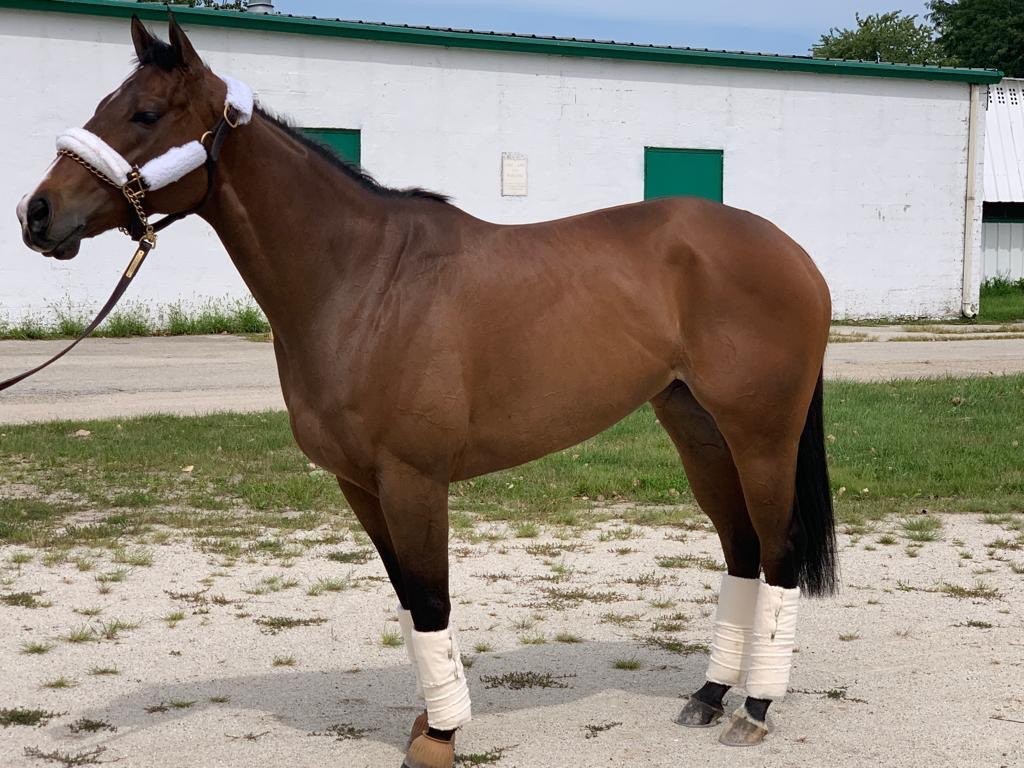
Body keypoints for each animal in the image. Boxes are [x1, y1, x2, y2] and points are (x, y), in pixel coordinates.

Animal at [14, 18, 831, 768]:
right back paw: (708, 694)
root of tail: (790, 252)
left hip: (761, 435)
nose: (37, 213)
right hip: (697, 429)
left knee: (781, 551)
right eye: (104, 103)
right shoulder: (360, 485)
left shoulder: (413, 479)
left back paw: (755, 708)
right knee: (742, 550)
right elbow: (410, 600)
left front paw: (440, 736)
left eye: (146, 114)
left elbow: (432, 598)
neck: (362, 279)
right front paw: (428, 721)